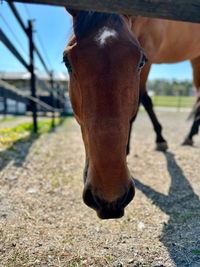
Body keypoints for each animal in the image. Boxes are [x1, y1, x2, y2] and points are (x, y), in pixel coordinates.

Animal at [63, 10, 200, 220]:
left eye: (140, 60)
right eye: (66, 61)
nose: (110, 197)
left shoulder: (148, 54)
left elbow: (142, 102)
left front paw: (155, 140)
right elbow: (145, 100)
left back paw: (190, 136)